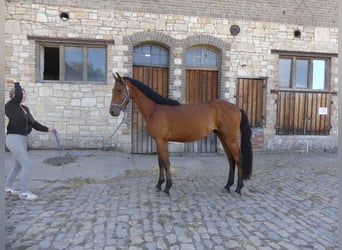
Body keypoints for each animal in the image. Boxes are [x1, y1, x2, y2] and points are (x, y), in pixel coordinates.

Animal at [109, 72, 251, 195]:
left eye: (119, 90)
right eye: (113, 90)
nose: (112, 111)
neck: (155, 109)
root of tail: (237, 108)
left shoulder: (161, 140)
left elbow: (166, 162)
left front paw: (167, 187)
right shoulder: (158, 141)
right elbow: (160, 162)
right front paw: (159, 185)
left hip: (230, 138)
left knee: (238, 159)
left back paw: (238, 188)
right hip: (223, 137)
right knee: (231, 160)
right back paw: (227, 186)